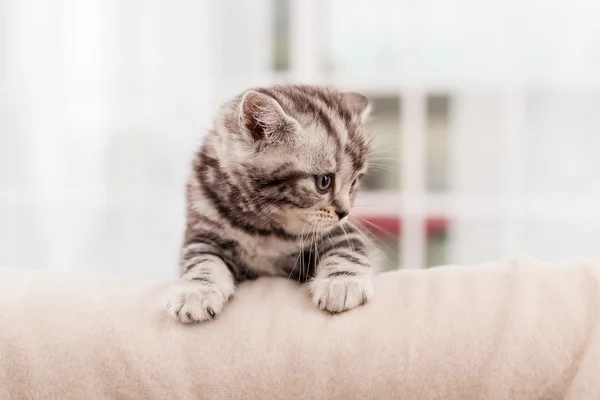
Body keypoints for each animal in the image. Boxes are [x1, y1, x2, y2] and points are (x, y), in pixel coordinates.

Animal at [165, 83, 376, 322]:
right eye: (324, 181)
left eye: (354, 182)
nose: (345, 212)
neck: (265, 227)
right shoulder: (202, 230)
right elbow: (202, 260)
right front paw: (196, 292)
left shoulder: (343, 232)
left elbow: (347, 250)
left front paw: (342, 283)